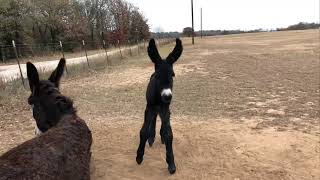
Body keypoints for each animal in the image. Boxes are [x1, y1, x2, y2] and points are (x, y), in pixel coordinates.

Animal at [136, 38, 182, 174]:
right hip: (153, 108)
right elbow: (143, 131)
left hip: (163, 109)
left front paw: (171, 163)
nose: (167, 96)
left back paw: (159, 136)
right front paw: (139, 156)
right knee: (154, 119)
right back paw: (151, 138)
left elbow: (169, 134)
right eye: (157, 75)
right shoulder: (148, 108)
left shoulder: (165, 109)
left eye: (172, 75)